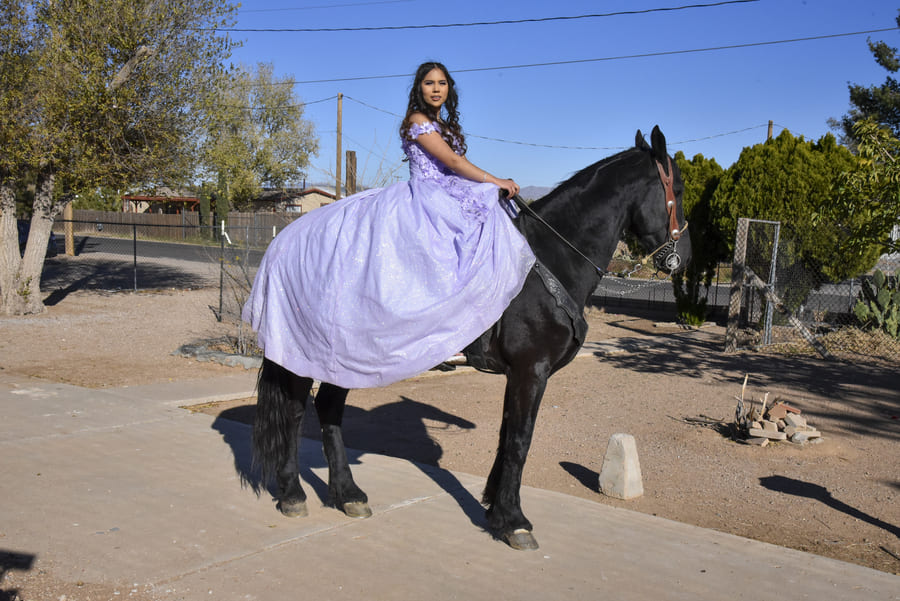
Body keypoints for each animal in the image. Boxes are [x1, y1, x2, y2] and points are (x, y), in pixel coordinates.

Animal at [250, 125, 692, 548]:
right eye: (680, 189)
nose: (684, 257)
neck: (548, 259)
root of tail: (282, 243)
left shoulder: (519, 374)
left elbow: (507, 435)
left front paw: (495, 508)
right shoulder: (532, 370)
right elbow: (520, 441)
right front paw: (514, 521)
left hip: (342, 357)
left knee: (328, 410)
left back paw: (348, 495)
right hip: (303, 354)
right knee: (294, 413)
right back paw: (293, 494)